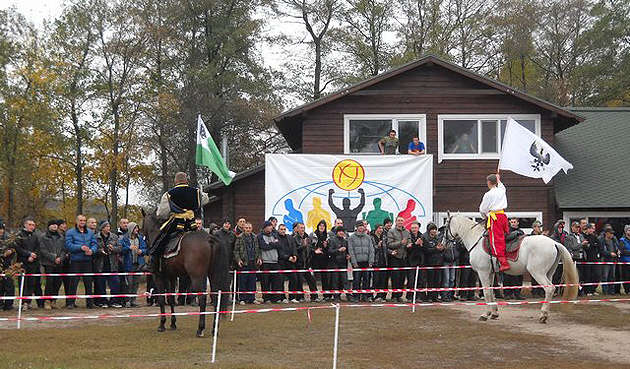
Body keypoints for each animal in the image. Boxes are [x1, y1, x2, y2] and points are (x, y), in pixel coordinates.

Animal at [141, 207, 230, 336]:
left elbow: (162, 299)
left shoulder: (158, 276)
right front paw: (173, 323)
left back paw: (200, 329)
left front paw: (162, 324)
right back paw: (214, 329)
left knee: (202, 298)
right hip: (212, 275)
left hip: (197, 276)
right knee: (215, 297)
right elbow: (171, 299)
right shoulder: (171, 277)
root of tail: (209, 238)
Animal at [444, 213, 576, 322]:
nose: (444, 243)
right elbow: (491, 291)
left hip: (537, 273)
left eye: (445, 227)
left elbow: (486, 292)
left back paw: (543, 315)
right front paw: (494, 313)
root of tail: (554, 243)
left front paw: (486, 314)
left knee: (549, 288)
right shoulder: (491, 273)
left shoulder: (483, 272)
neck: (476, 240)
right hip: (549, 273)